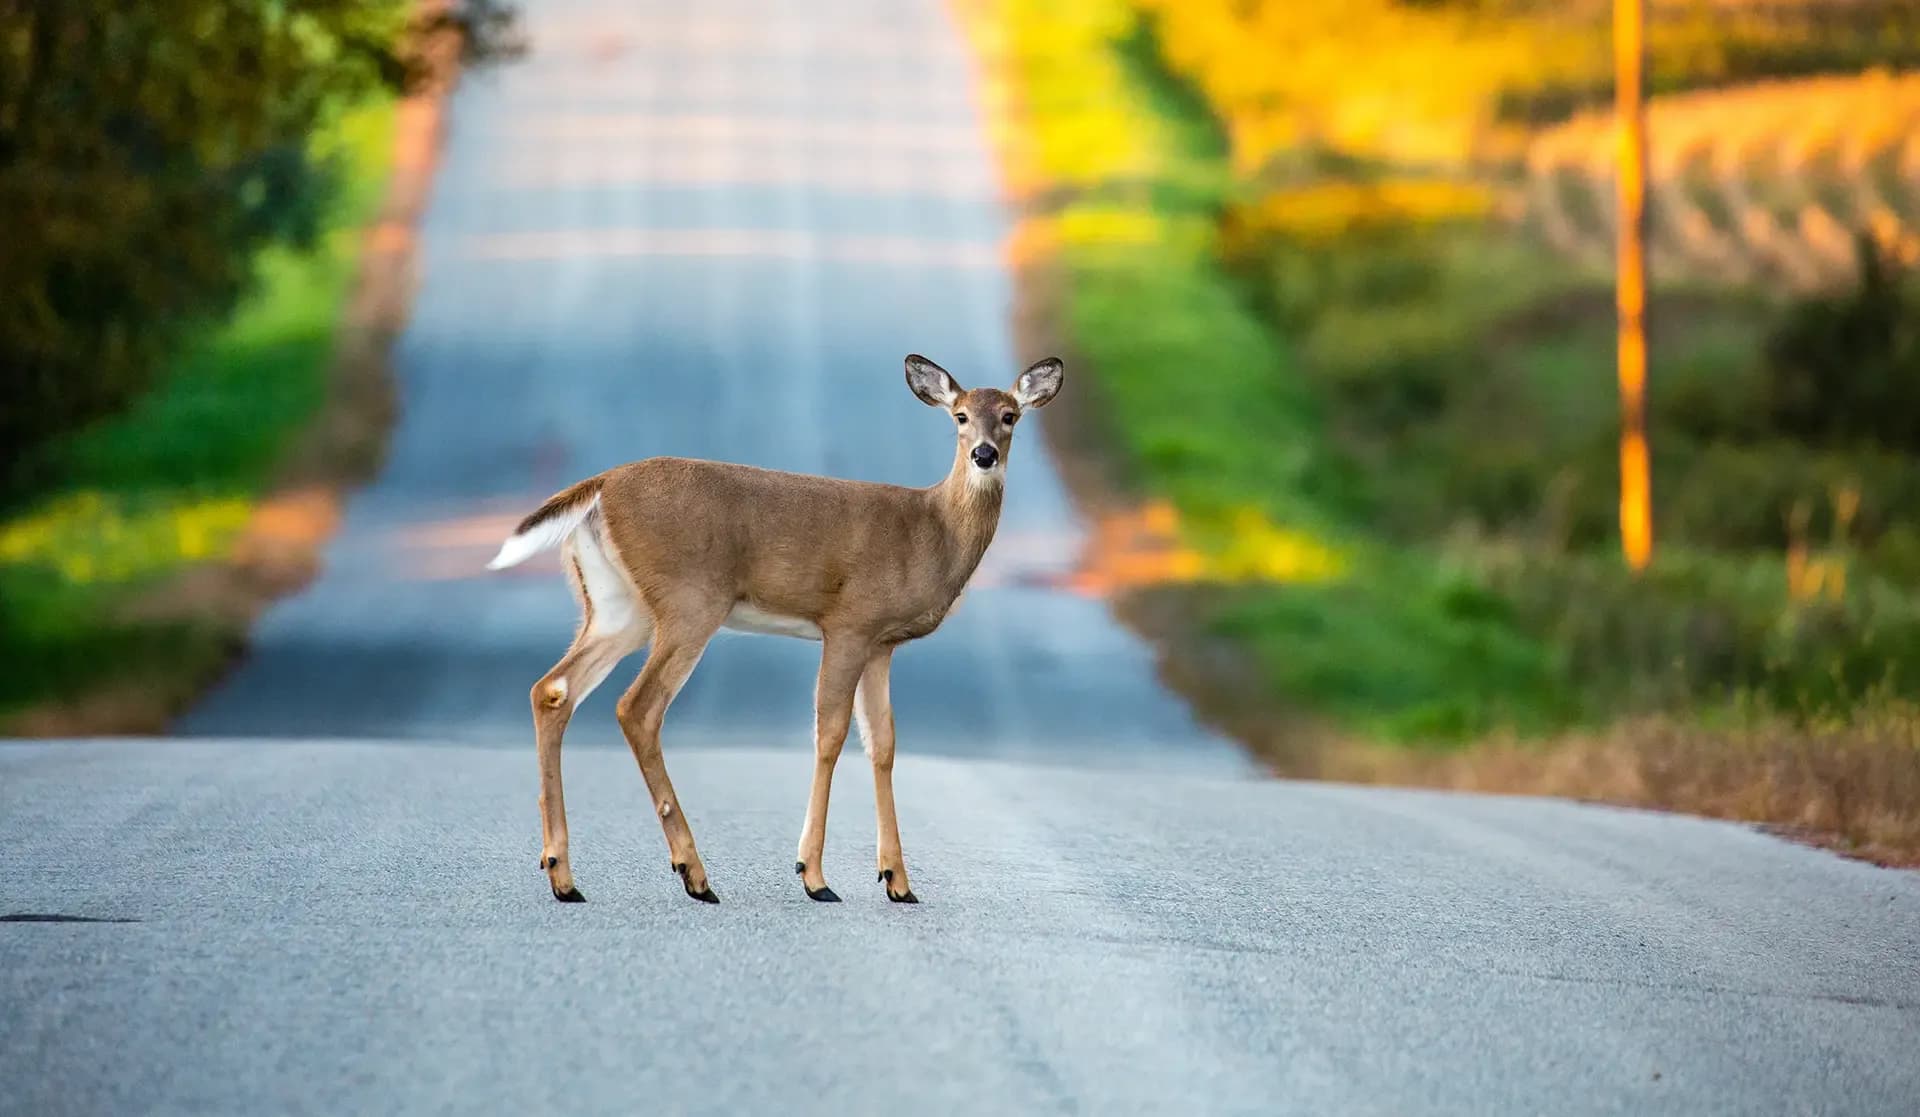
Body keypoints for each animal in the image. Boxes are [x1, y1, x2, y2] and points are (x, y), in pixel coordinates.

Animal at [486, 354, 1064, 905]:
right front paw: (814, 876)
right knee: (637, 707)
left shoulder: (883, 644)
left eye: (1010, 415)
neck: (932, 532)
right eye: (960, 416)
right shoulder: (850, 621)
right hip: (690, 601)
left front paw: (898, 881)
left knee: (553, 690)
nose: (984, 455)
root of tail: (601, 487)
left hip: (616, 606)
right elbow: (830, 734)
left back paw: (564, 877)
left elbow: (883, 743)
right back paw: (694, 874)